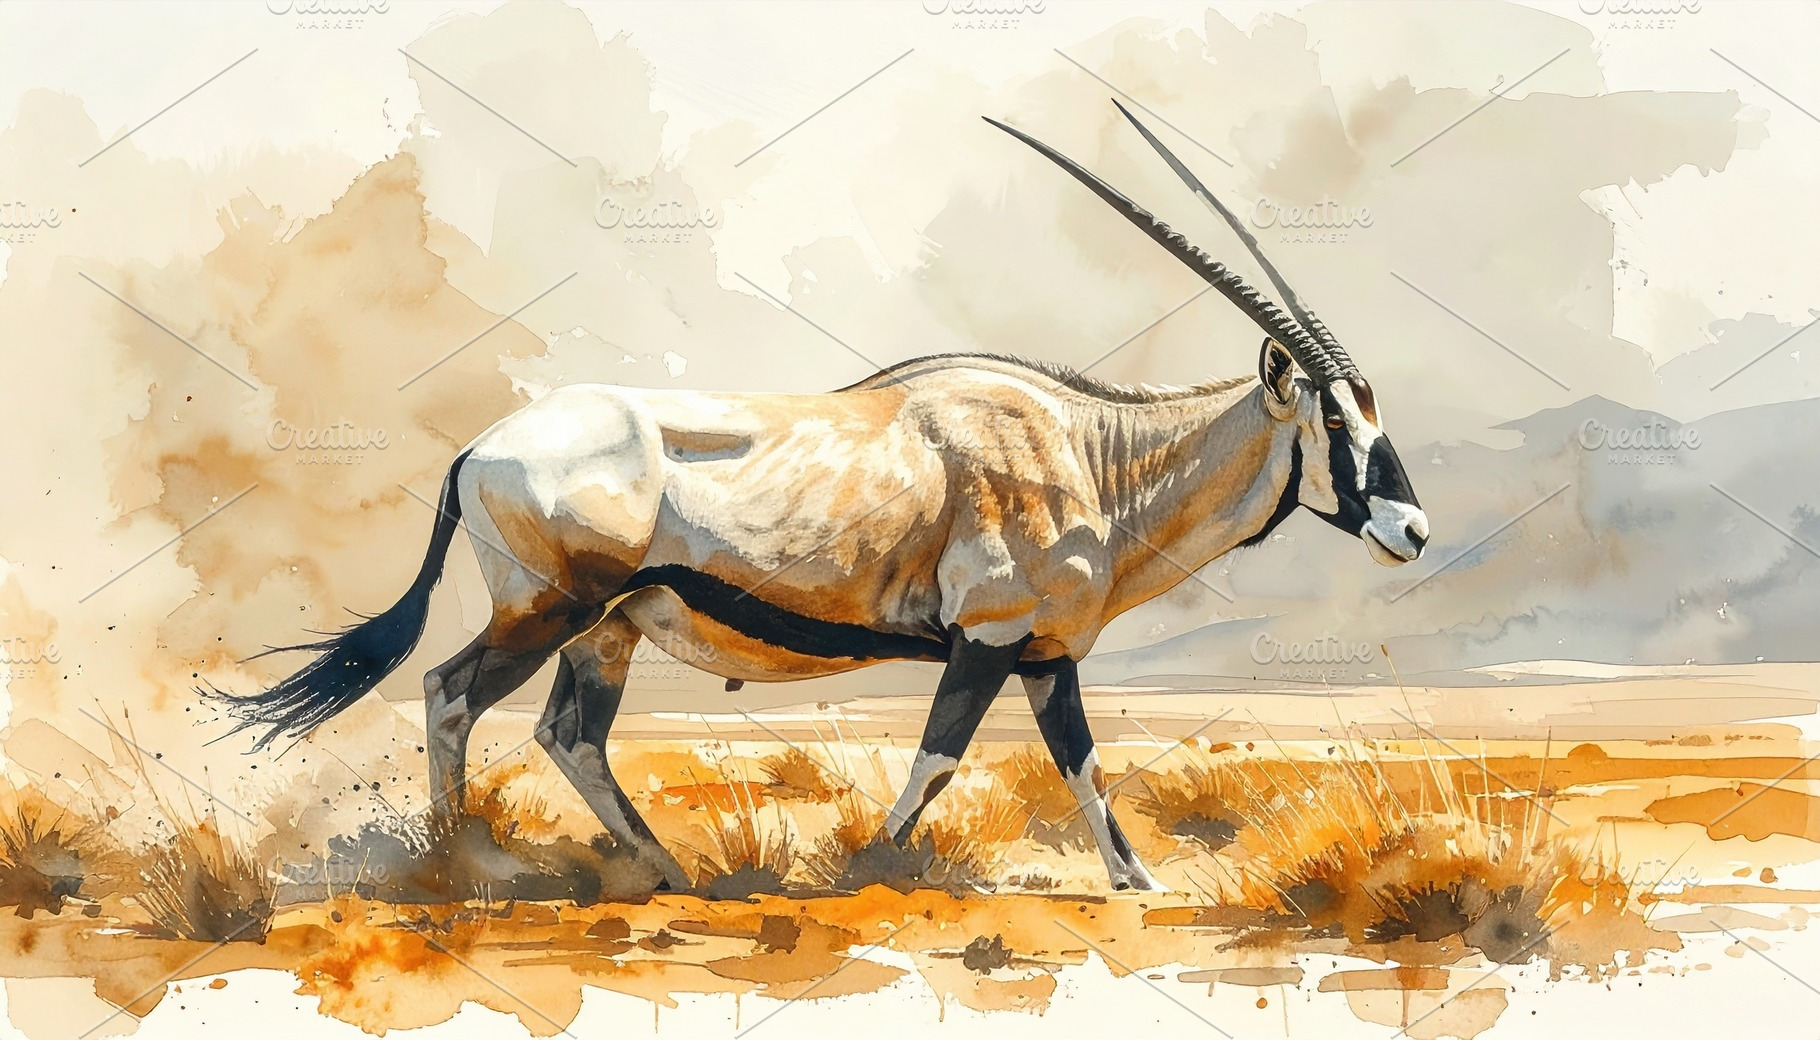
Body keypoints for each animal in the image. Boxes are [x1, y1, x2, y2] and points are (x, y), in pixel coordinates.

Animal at [211, 102, 1428, 893]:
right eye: (1334, 423)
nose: (1412, 529)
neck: (1084, 451)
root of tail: (478, 446)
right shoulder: (989, 640)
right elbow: (939, 757)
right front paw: (873, 865)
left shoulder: (1045, 655)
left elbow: (1080, 764)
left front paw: (1136, 881)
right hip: (549, 608)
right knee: (452, 693)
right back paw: (458, 865)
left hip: (607, 629)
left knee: (569, 733)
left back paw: (663, 870)